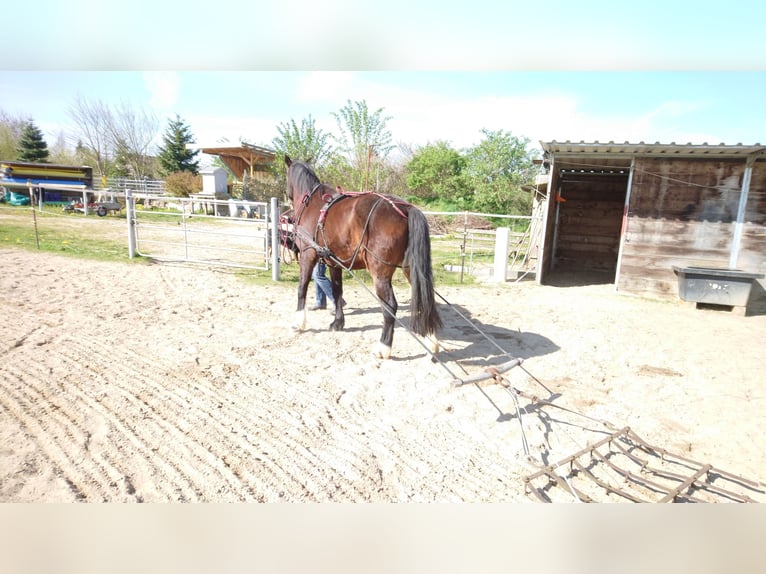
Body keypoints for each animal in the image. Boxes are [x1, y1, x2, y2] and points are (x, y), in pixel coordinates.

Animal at [284, 155, 440, 358]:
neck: (312, 204)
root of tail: (405, 209)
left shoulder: (307, 256)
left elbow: (301, 288)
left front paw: (299, 322)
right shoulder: (334, 264)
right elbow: (337, 291)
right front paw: (338, 323)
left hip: (380, 273)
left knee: (390, 306)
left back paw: (383, 347)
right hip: (410, 269)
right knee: (425, 301)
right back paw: (432, 341)